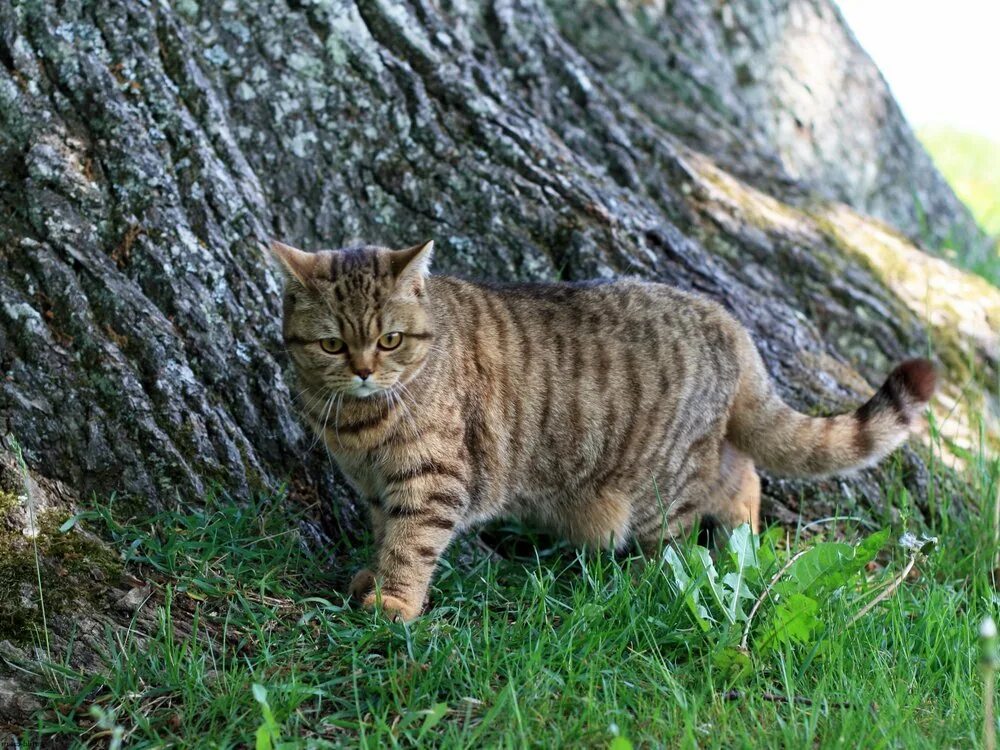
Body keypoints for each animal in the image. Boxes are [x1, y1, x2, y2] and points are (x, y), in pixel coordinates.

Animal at [272, 239, 936, 624]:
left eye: (390, 340)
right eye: (332, 344)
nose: (363, 371)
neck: (358, 425)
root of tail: (729, 321)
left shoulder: (431, 479)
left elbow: (412, 544)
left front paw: (395, 602)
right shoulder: (376, 487)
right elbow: (386, 534)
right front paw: (374, 575)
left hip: (658, 489)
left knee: (683, 538)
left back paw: (647, 584)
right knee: (742, 475)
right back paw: (743, 540)